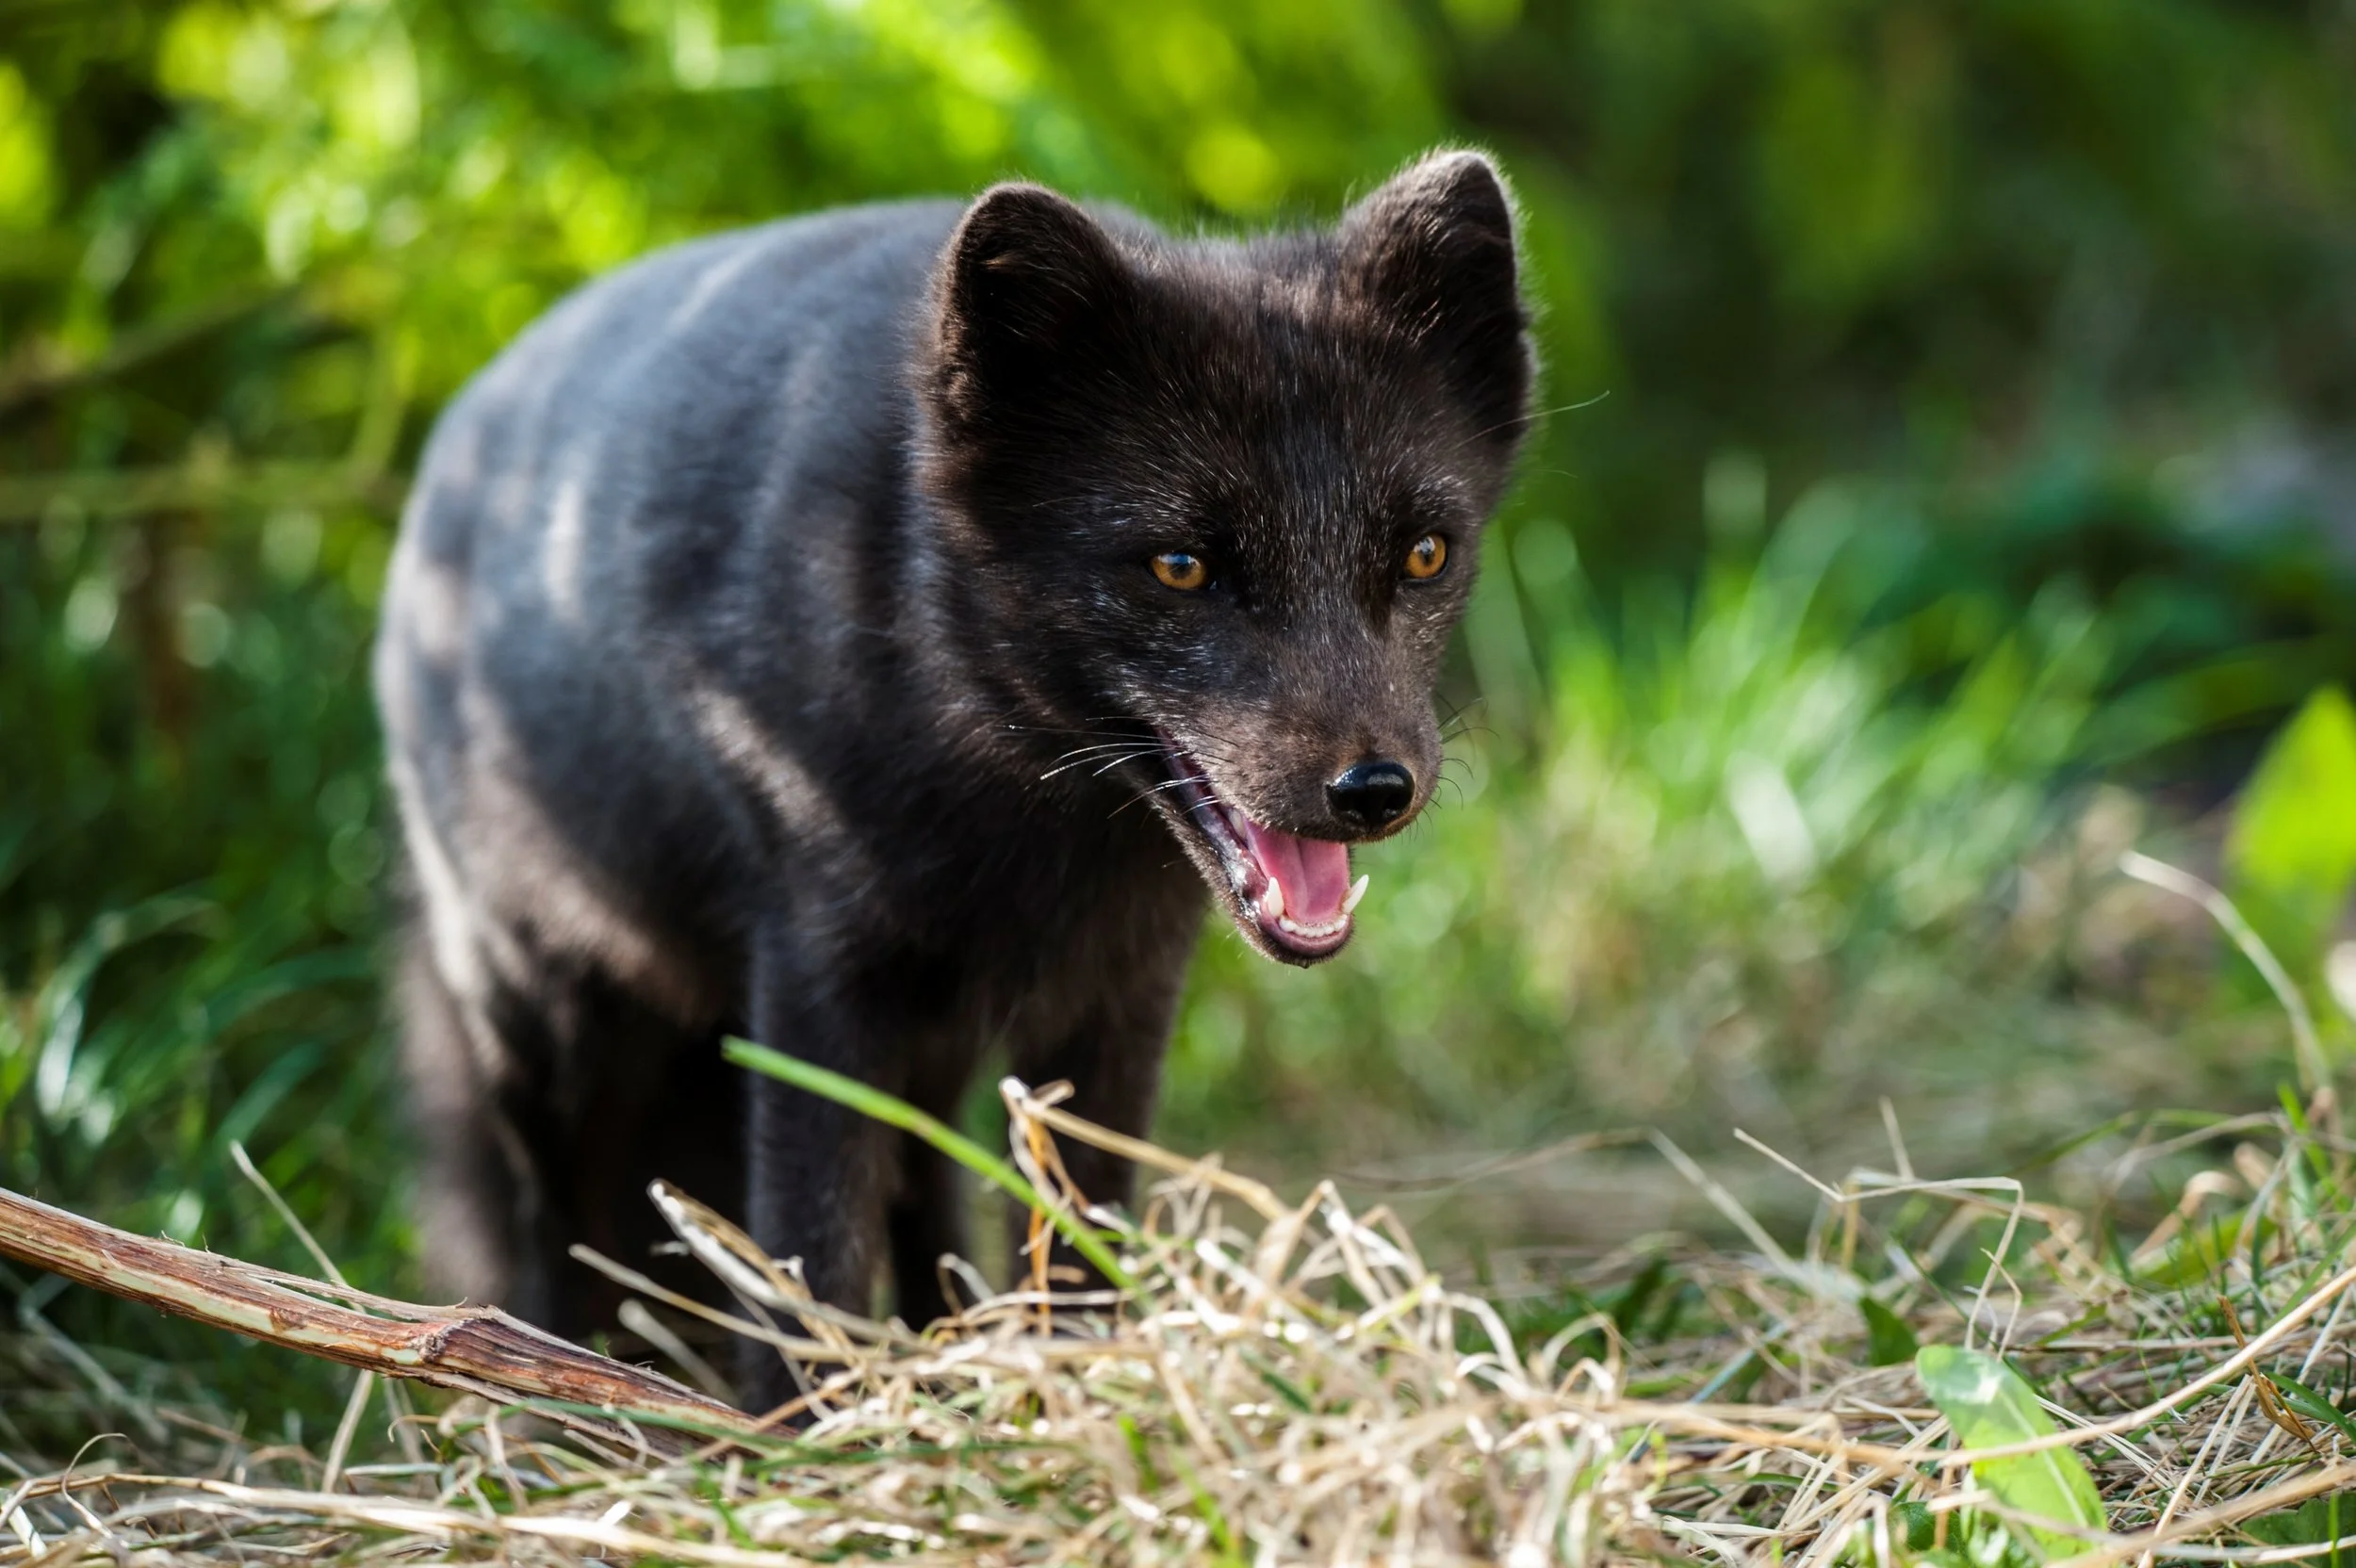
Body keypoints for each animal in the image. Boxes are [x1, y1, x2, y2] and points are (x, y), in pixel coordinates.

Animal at [372, 148, 1533, 1404]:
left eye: (1423, 553)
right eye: (1180, 566)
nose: (1374, 790)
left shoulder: (1116, 993)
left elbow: (1076, 1237)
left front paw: (1078, 1399)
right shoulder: (815, 978)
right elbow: (809, 1256)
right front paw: (802, 1433)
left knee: (919, 1190)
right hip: (546, 1024)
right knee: (554, 1239)